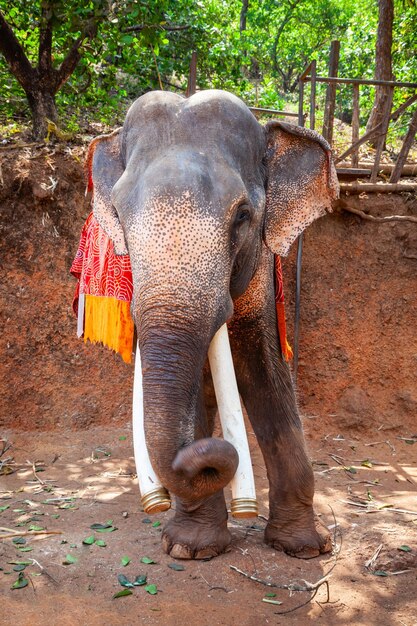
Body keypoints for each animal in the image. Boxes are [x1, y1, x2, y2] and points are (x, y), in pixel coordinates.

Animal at [88, 89, 338, 560]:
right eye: (119, 216)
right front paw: (191, 549)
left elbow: (264, 368)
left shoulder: (260, 266)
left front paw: (304, 548)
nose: (201, 456)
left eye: (242, 215)